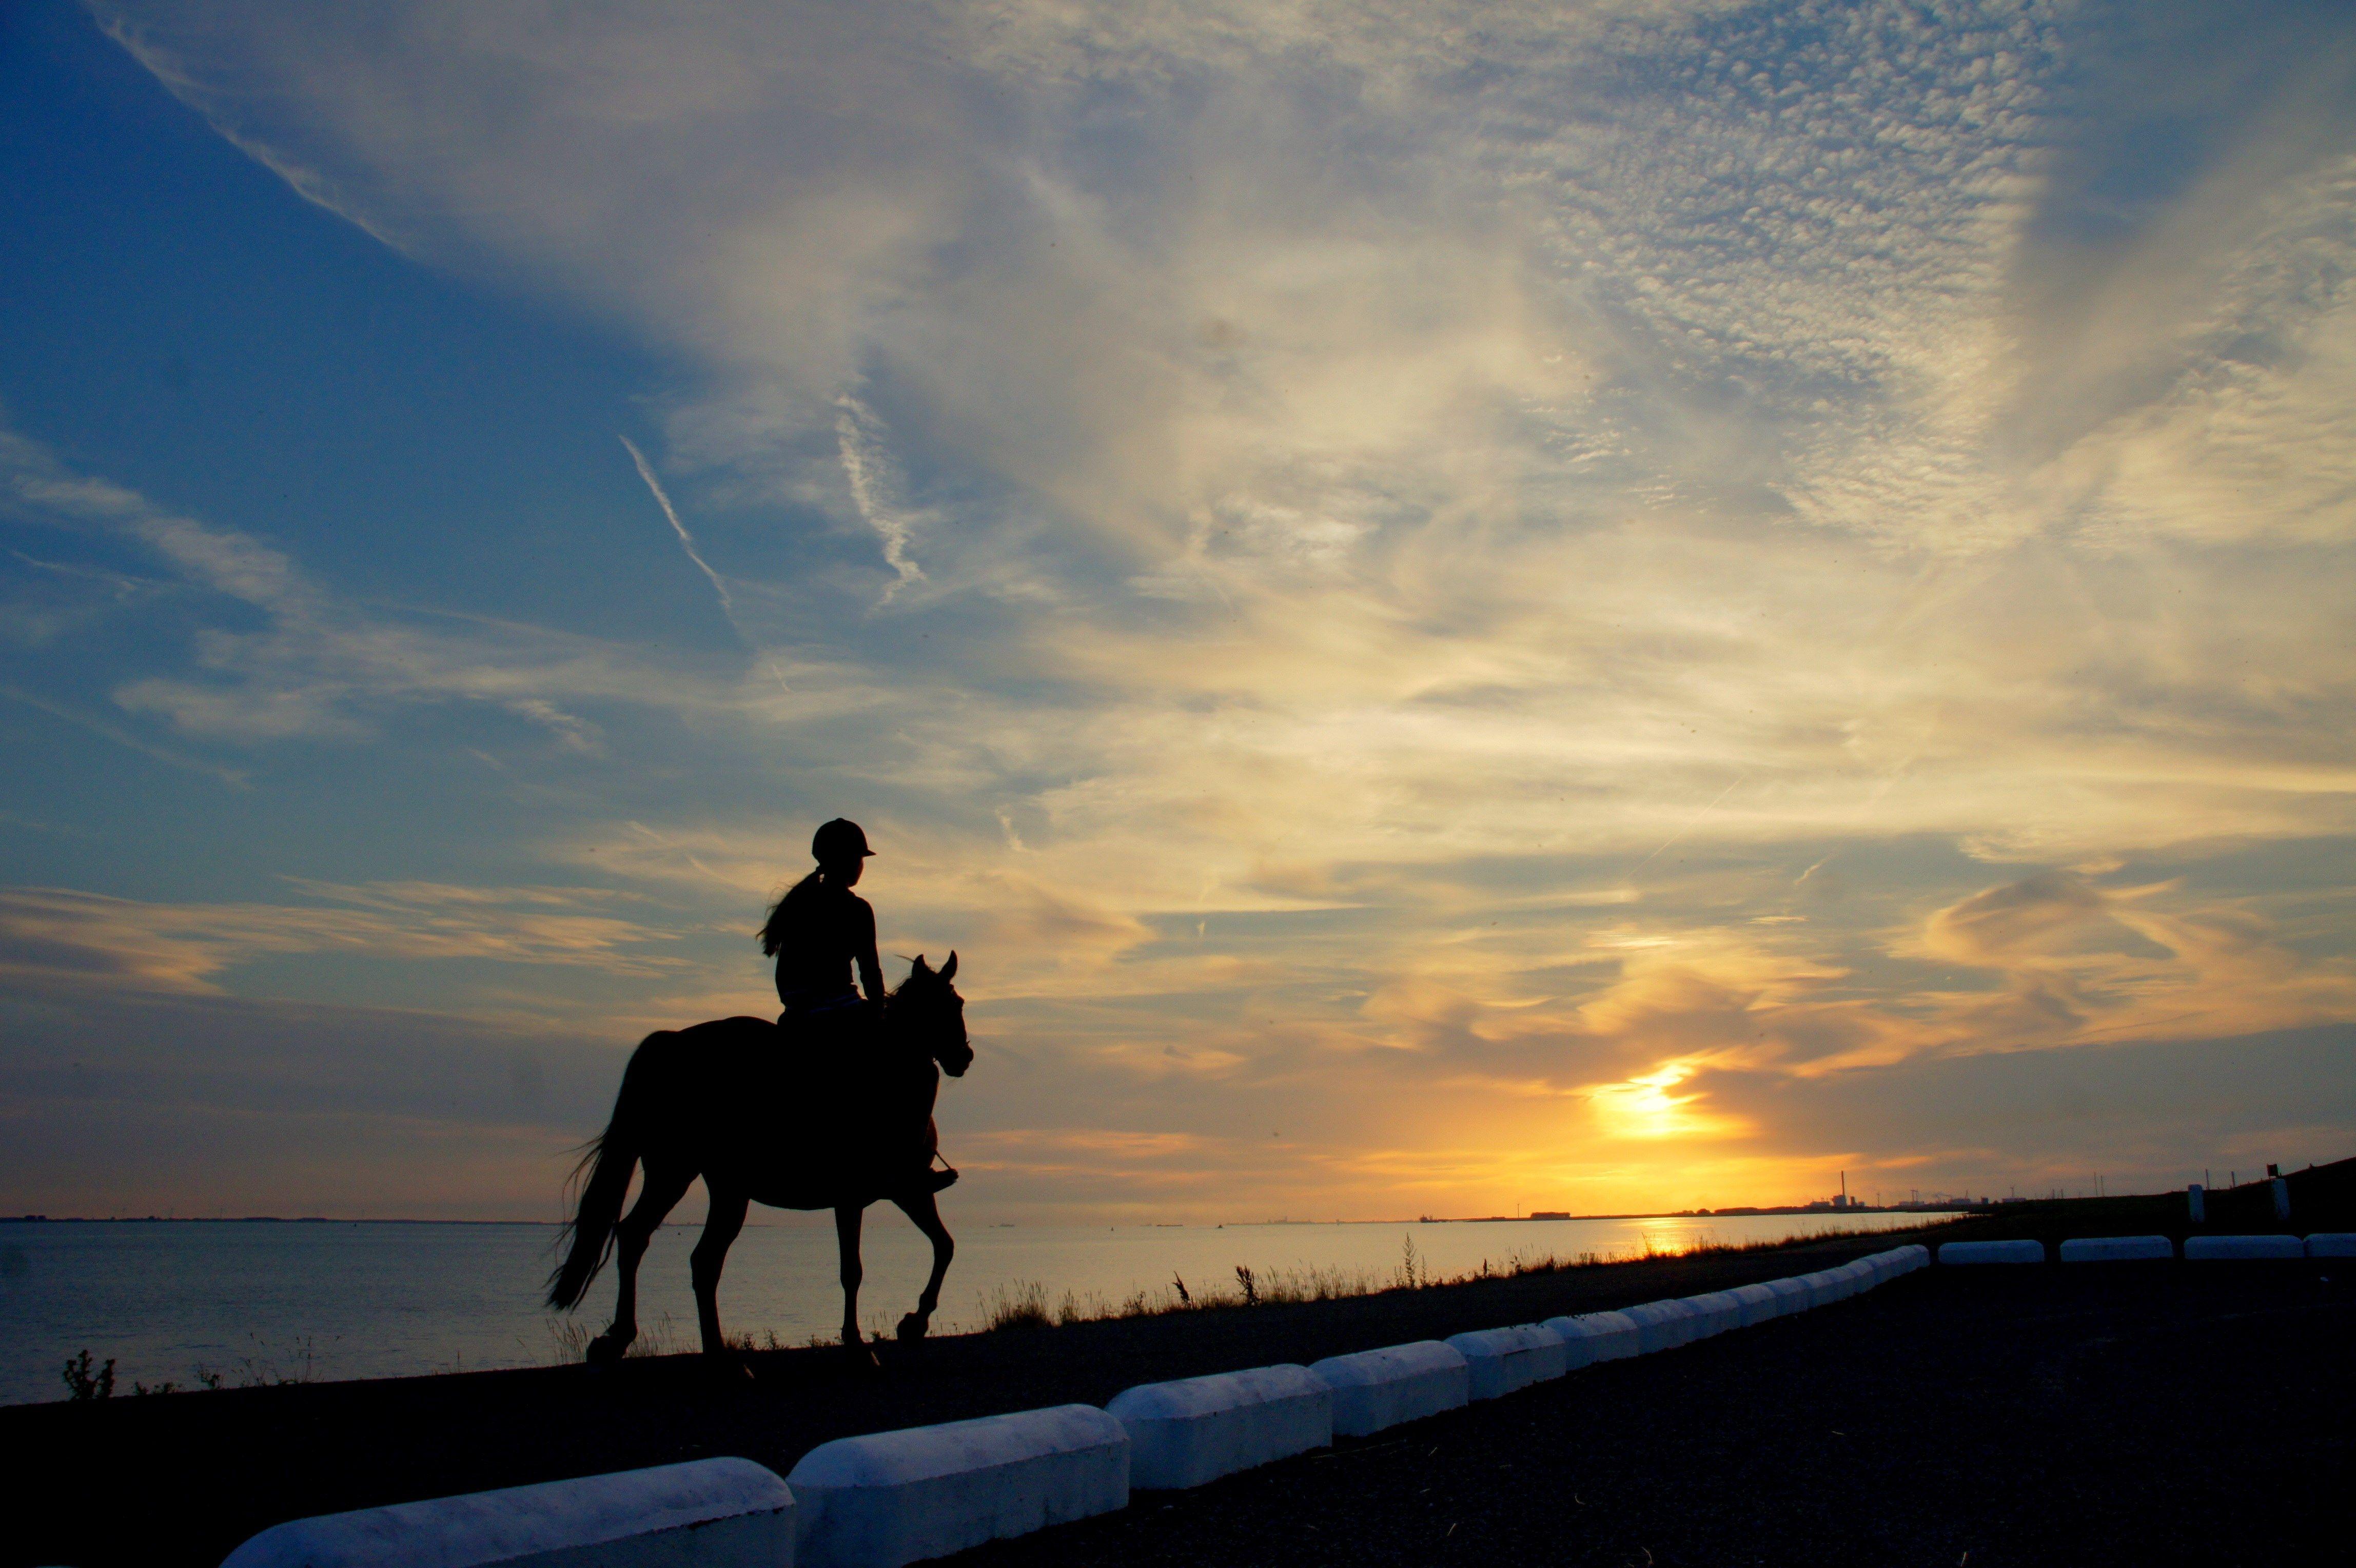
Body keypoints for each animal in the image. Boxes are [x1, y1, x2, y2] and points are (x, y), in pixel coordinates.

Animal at [542, 946, 966, 1365]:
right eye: (945, 1006)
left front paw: (914, 1323)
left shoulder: (909, 1192)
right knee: (677, 1250)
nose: (965, 1057)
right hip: (693, 1177)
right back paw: (700, 1352)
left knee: (657, 1244)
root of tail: (670, 1044)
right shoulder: (850, 1197)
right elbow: (852, 1270)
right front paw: (857, 1343)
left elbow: (944, 1246)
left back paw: (629, 1341)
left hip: (698, 1179)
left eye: (958, 1003)